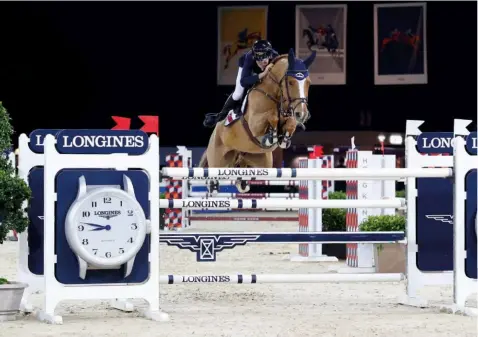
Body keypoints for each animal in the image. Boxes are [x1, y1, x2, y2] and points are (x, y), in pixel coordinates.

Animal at [200, 48, 316, 193]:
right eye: (290, 82)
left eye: (308, 82)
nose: (302, 114)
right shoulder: (254, 124)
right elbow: (272, 116)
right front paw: (271, 136)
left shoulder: (289, 116)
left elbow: (291, 123)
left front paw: (284, 139)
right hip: (217, 160)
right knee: (213, 176)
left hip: (260, 162)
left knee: (242, 177)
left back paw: (242, 181)